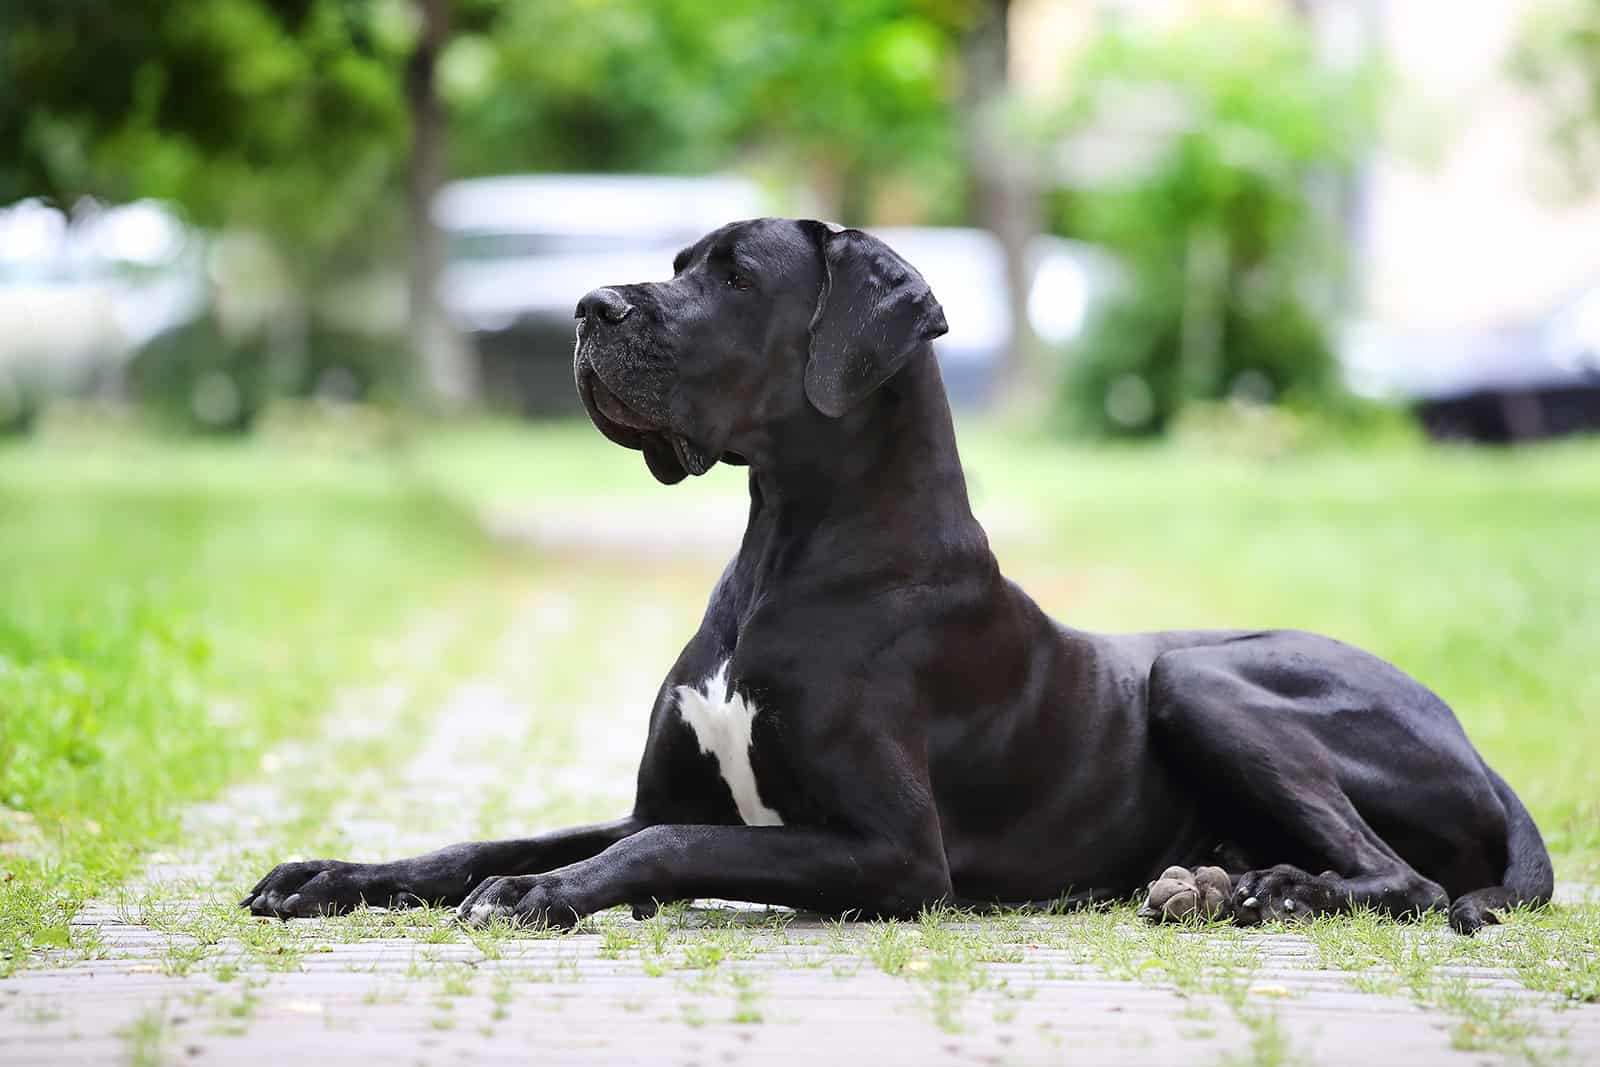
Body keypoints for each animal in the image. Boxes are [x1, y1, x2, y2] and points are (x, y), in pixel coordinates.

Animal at [243, 217, 1555, 934]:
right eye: (676, 261)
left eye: (734, 276)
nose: (588, 304)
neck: (783, 544)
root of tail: (1477, 746)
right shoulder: (656, 794)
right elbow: (487, 841)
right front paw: (330, 871)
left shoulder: (893, 852)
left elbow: (652, 850)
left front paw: (542, 894)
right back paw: (1220, 882)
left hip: (1201, 680)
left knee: (1397, 876)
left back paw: (1265, 893)